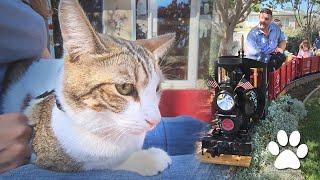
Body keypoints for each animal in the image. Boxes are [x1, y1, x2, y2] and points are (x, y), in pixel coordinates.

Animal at [1, 0, 175, 176]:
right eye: (124, 87)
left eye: (157, 88)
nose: (155, 120)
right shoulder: (49, 155)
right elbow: (100, 161)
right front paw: (147, 159)